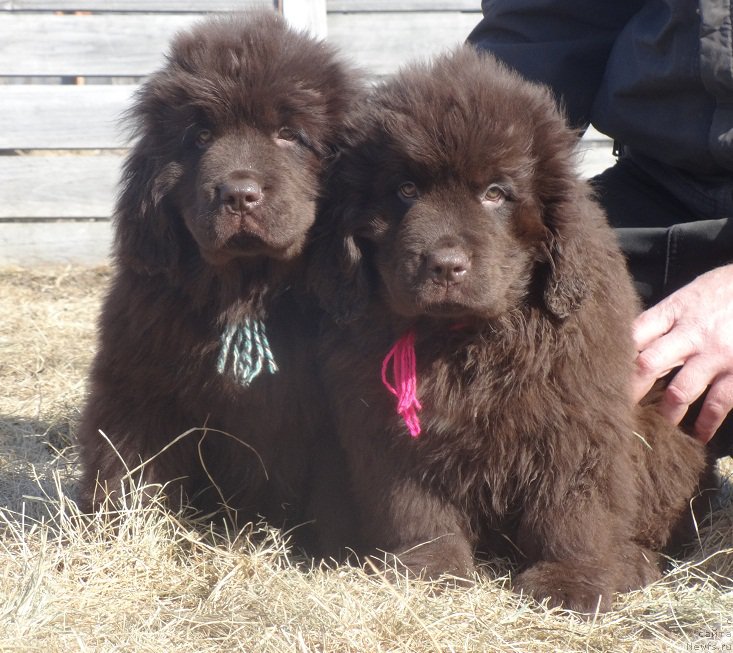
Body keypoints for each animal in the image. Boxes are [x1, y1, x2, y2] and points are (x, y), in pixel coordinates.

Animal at [77, 12, 360, 552]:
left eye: (289, 134)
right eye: (201, 136)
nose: (239, 193)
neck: (245, 292)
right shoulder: (137, 379)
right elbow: (126, 462)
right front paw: (120, 531)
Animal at [310, 47, 716, 612]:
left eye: (495, 194)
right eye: (406, 190)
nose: (445, 265)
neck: (463, 338)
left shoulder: (577, 423)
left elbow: (572, 512)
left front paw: (569, 582)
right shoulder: (390, 435)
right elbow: (415, 509)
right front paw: (427, 571)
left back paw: (631, 563)